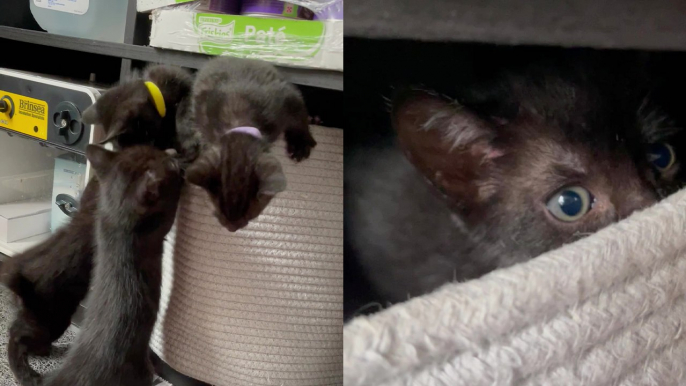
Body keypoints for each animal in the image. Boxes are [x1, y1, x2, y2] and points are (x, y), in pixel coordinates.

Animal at [41, 146, 183, 386]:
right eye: (162, 161)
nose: (170, 152)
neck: (116, 217)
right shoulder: (156, 226)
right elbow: (170, 215)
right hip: (137, 369)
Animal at [187, 57, 318, 231]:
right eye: (219, 214)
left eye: (250, 215)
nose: (232, 229)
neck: (239, 121)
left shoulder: (286, 99)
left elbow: (299, 115)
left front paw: (300, 143)